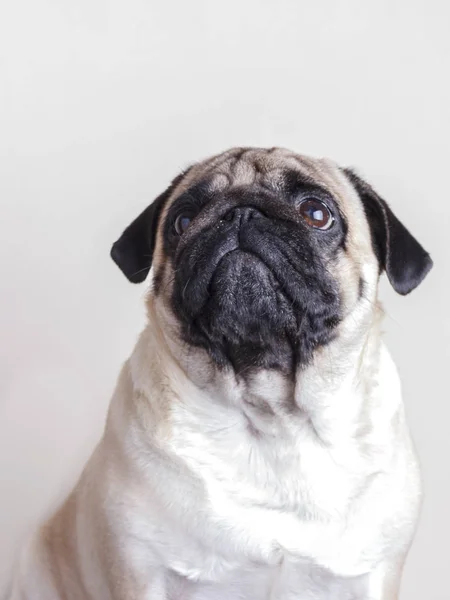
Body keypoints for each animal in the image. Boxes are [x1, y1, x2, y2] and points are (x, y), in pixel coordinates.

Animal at [7, 146, 432, 600]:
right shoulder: (140, 573)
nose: (243, 212)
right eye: (182, 220)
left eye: (317, 214)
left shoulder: (375, 577)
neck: (273, 418)